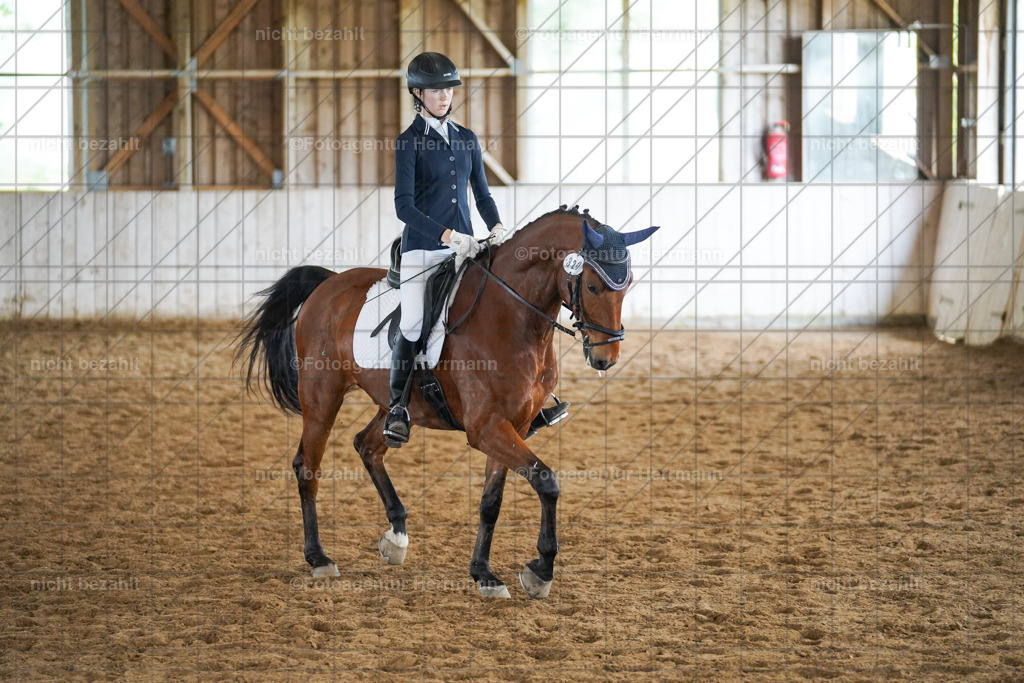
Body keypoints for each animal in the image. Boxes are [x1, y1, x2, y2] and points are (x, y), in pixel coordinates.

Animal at [235, 205, 659, 599]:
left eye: (626, 286)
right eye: (593, 288)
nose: (606, 358)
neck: (513, 317)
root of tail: (329, 283)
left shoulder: (515, 425)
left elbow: (492, 501)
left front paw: (484, 573)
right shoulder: (487, 428)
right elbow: (546, 480)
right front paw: (540, 570)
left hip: (393, 403)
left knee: (367, 445)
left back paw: (396, 536)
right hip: (322, 398)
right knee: (308, 466)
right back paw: (319, 558)